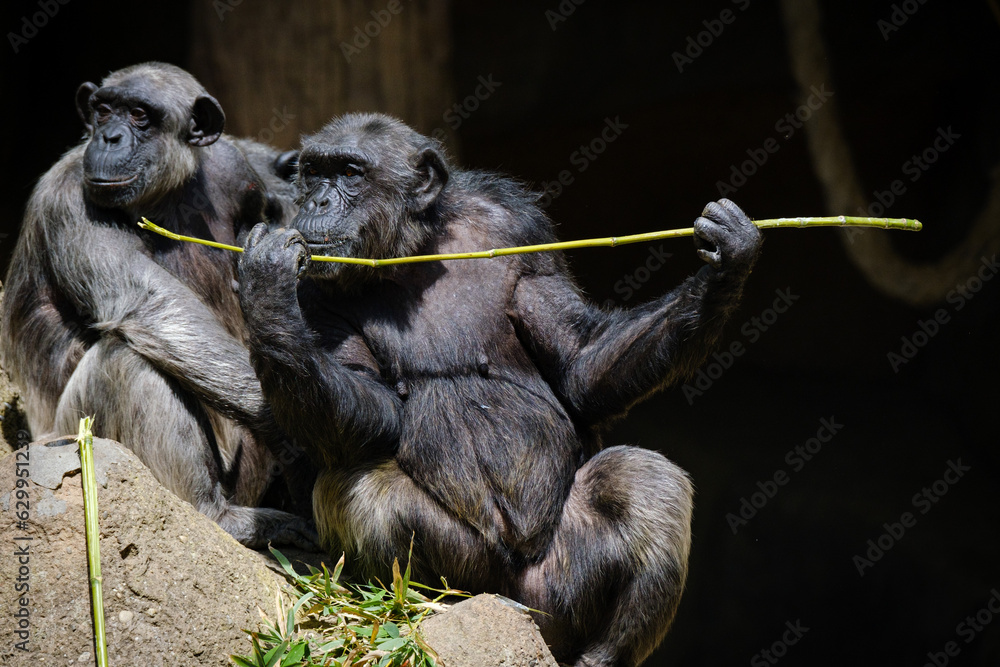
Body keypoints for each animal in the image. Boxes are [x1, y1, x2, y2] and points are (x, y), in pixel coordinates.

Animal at [0, 62, 315, 548]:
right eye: (103, 109)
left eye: (140, 115)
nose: (109, 136)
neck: (164, 193)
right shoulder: (71, 198)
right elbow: (149, 302)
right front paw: (299, 430)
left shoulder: (238, 169)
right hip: (70, 439)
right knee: (126, 357)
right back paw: (217, 514)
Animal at [236, 112, 762, 666]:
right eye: (314, 172)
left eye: (350, 172)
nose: (316, 201)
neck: (413, 251)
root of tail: (527, 611)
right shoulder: (314, 289)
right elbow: (370, 406)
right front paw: (265, 283)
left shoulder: (516, 228)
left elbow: (581, 363)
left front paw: (728, 258)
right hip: (480, 574)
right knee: (360, 488)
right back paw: (428, 607)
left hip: (566, 586)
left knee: (641, 476)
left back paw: (606, 653)